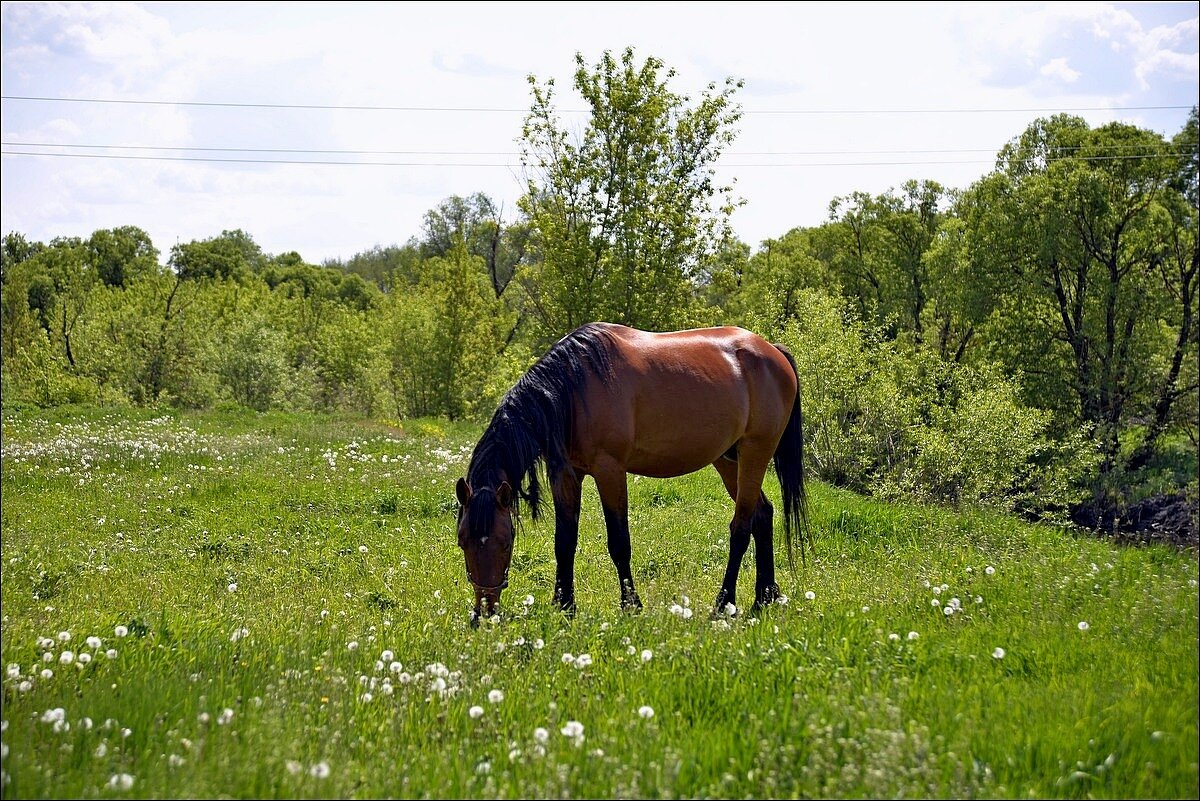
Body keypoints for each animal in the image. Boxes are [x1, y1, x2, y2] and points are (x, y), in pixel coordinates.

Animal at [453, 321, 811, 623]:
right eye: (462, 541)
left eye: (504, 541)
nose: (484, 612)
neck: (573, 388)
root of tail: (773, 351)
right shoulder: (566, 475)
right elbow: (564, 542)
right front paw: (565, 606)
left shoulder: (610, 471)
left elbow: (619, 543)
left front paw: (631, 605)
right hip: (727, 459)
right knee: (762, 514)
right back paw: (764, 598)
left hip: (754, 453)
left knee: (741, 527)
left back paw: (723, 604)